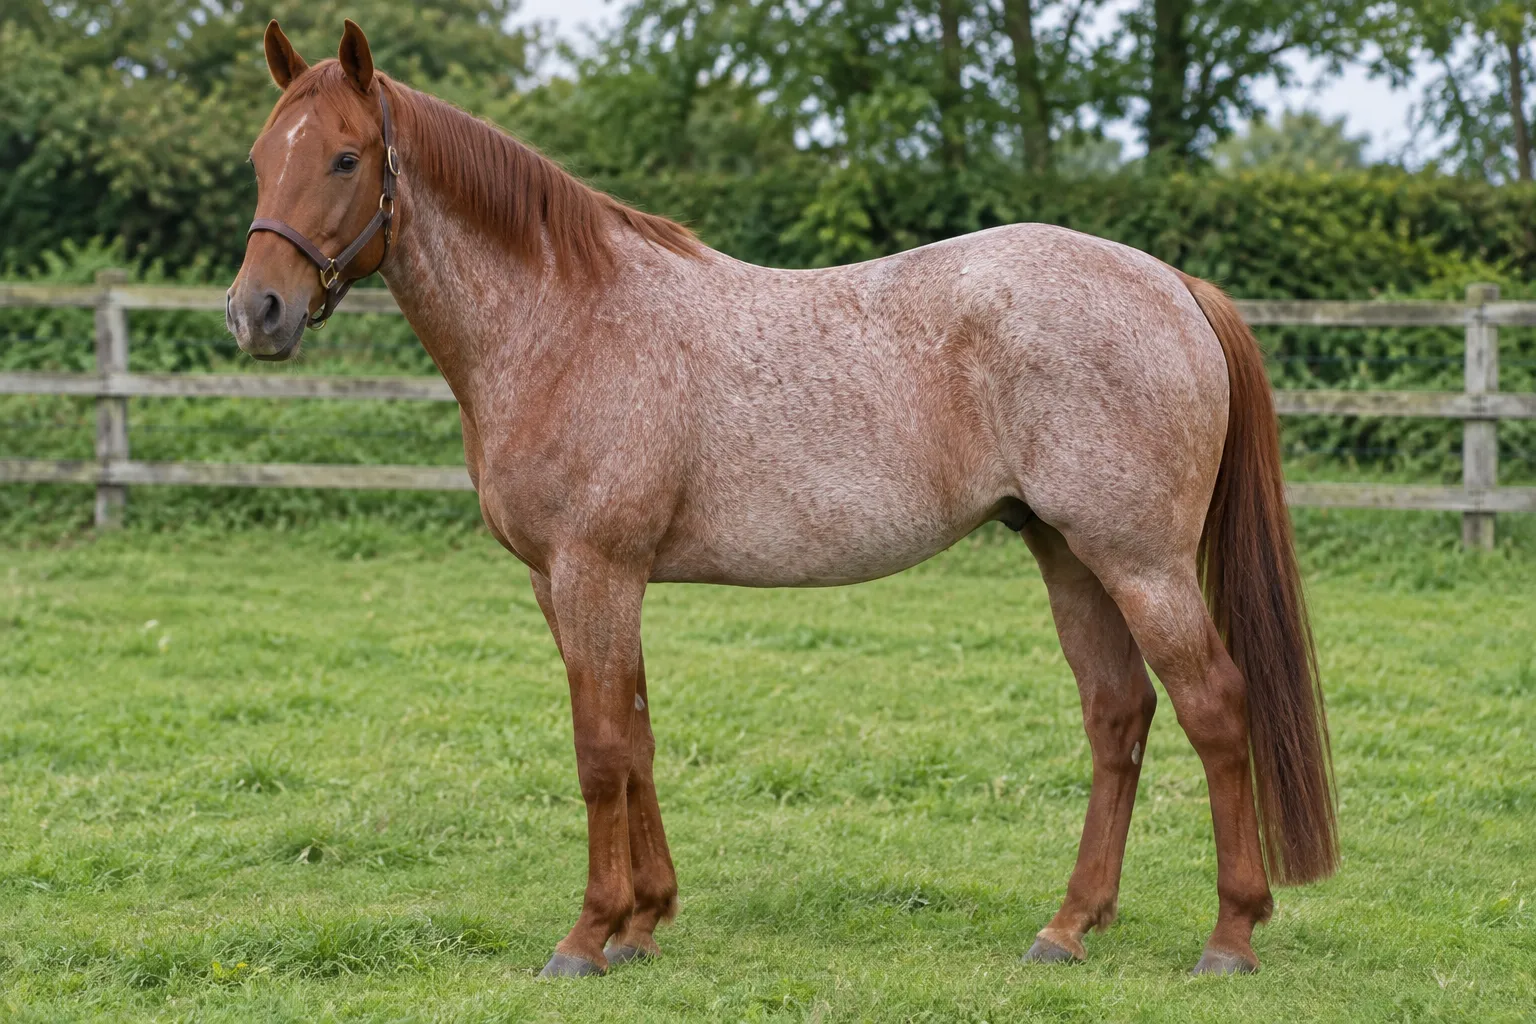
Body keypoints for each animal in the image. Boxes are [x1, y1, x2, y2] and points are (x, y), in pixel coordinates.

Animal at [228, 20, 1337, 979]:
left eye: (345, 159)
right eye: (258, 157)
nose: (255, 312)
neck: (565, 320)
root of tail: (1176, 285)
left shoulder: (595, 572)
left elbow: (599, 750)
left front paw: (586, 936)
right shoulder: (578, 583)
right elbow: (637, 736)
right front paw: (645, 922)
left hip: (1140, 562)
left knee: (1214, 707)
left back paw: (1230, 934)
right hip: (1069, 552)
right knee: (1118, 715)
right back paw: (1067, 927)